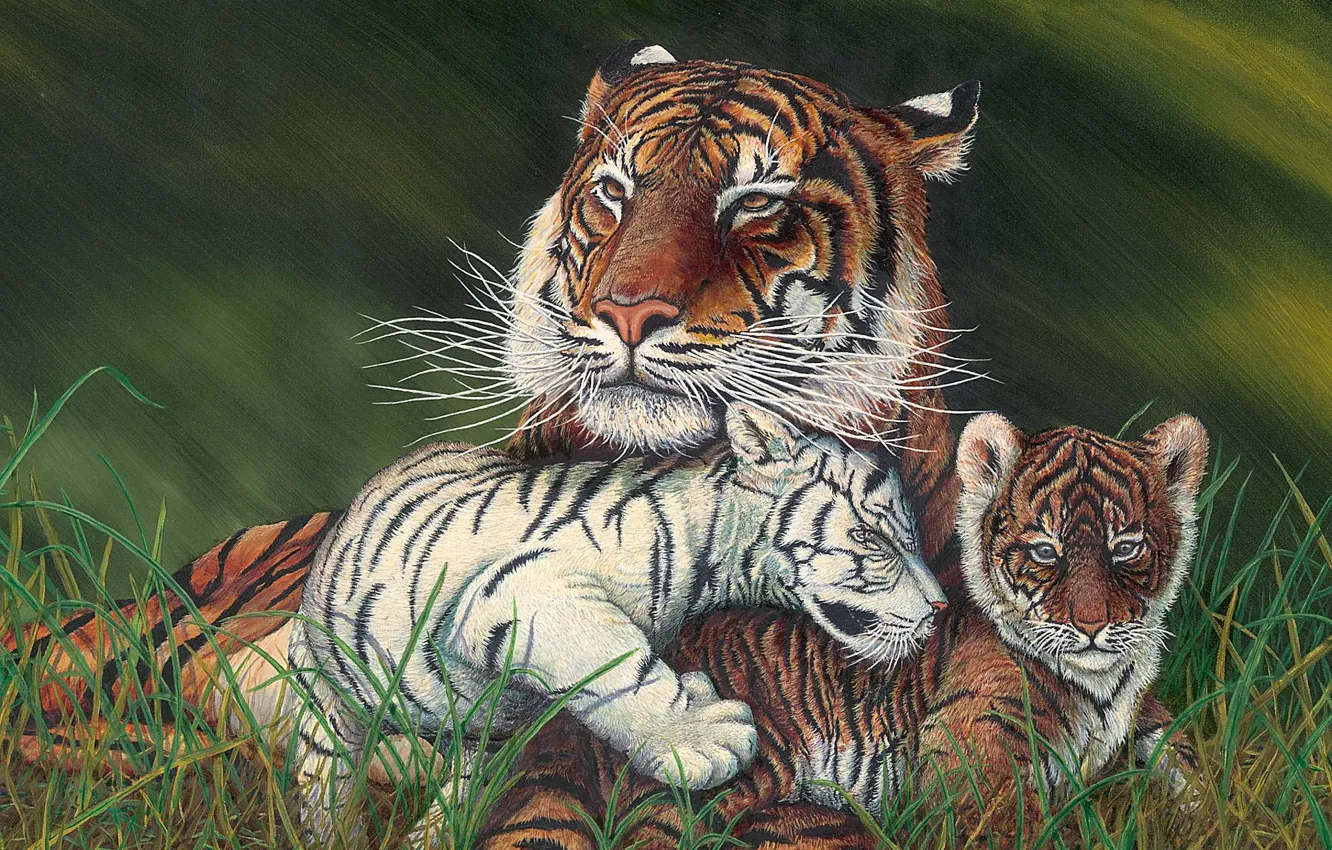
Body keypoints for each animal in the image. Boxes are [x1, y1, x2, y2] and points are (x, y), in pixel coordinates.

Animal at [287, 402, 946, 844]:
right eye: (873, 539)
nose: (942, 609)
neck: (715, 554)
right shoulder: (524, 589)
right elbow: (618, 665)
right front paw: (704, 738)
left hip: (475, 739)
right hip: (321, 697)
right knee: (325, 782)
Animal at [473, 412, 1209, 850]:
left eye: (1126, 548)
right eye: (1045, 551)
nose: (1092, 628)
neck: (1105, 680)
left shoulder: (1148, 717)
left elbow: (1184, 762)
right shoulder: (971, 755)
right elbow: (1011, 822)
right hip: (736, 772)